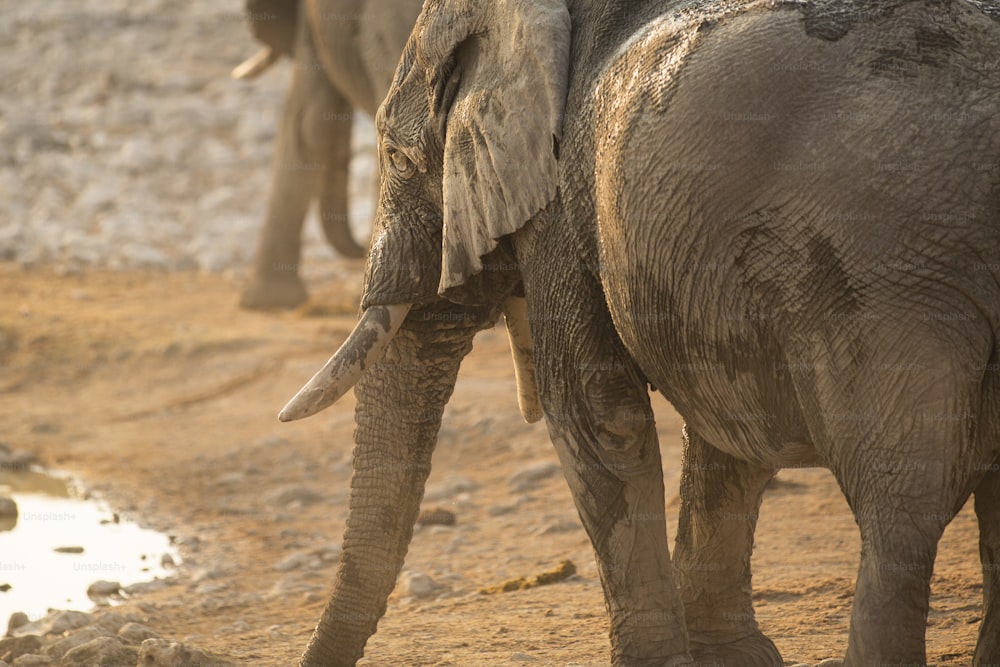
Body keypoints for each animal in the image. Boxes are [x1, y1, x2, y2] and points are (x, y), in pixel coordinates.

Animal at [278, 0, 1000, 664]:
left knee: (899, 512)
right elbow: (721, 427)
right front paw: (732, 658)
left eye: (399, 159)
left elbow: (595, 413)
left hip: (895, 287)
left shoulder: (561, 205)